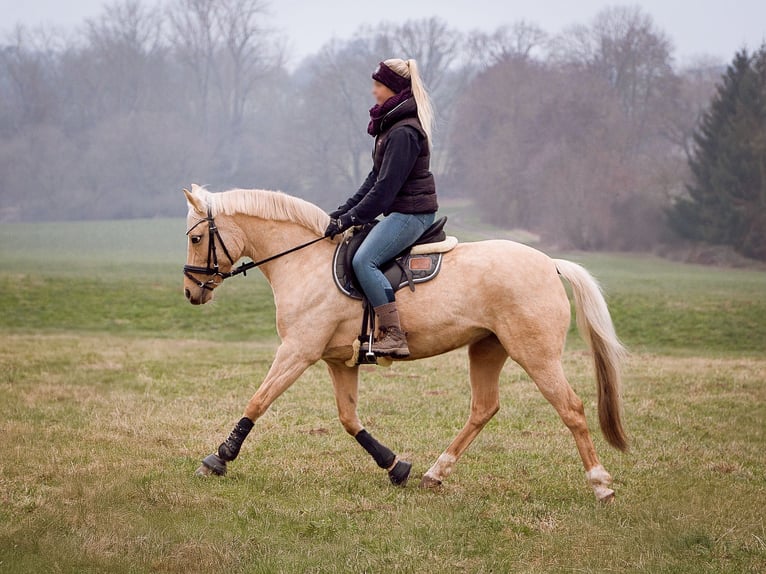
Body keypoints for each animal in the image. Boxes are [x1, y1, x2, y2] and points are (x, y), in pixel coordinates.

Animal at [182, 184, 627, 502]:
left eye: (197, 238)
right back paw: (434, 473)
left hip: (535, 355)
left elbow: (258, 401)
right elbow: (349, 419)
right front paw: (395, 466)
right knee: (483, 408)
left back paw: (601, 484)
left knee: (571, 408)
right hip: (487, 349)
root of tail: (550, 264)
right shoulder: (338, 362)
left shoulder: (298, 351)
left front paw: (218, 458)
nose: (190, 292)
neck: (305, 263)